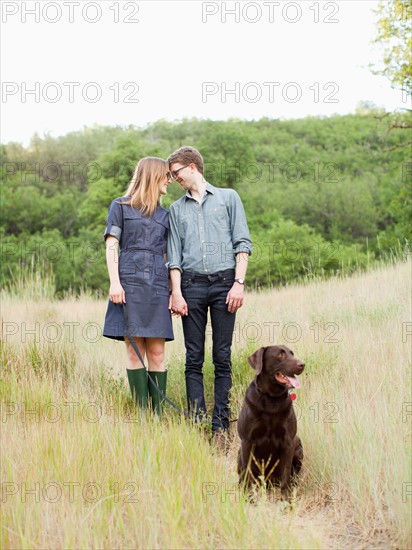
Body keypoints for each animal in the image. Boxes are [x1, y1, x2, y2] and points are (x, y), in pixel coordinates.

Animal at [237, 348, 304, 502]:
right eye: (280, 354)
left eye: (292, 353)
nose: (302, 364)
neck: (271, 399)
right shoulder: (247, 441)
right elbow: (247, 471)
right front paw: (247, 496)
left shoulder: (288, 441)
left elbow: (286, 474)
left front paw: (287, 500)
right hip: (239, 451)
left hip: (297, 443)